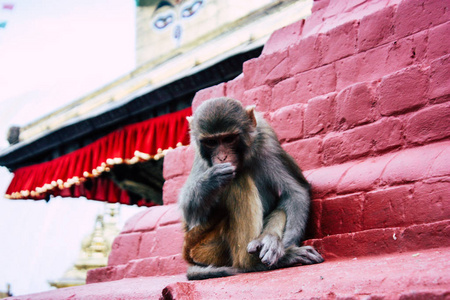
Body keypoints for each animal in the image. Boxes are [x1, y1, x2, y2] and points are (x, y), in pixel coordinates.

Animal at [178, 97, 322, 280]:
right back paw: (253, 263)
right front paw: (211, 179)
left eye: (229, 139)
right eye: (211, 142)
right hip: (202, 245)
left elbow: (295, 192)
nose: (222, 157)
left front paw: (279, 246)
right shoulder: (200, 156)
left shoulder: (266, 139)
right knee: (237, 180)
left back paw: (269, 242)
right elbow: (190, 214)